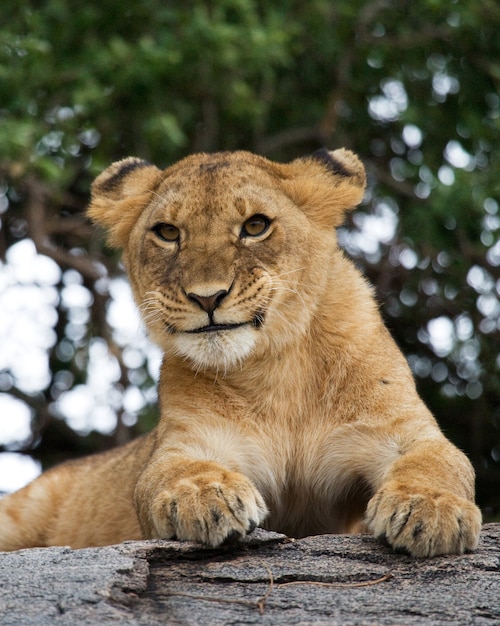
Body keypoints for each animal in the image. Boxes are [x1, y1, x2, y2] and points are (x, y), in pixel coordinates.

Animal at [0, 147, 484, 556]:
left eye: (255, 226)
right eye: (168, 232)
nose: (207, 297)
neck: (276, 369)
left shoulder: (401, 429)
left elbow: (440, 461)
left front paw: (429, 509)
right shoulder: (187, 441)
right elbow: (169, 473)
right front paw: (205, 497)